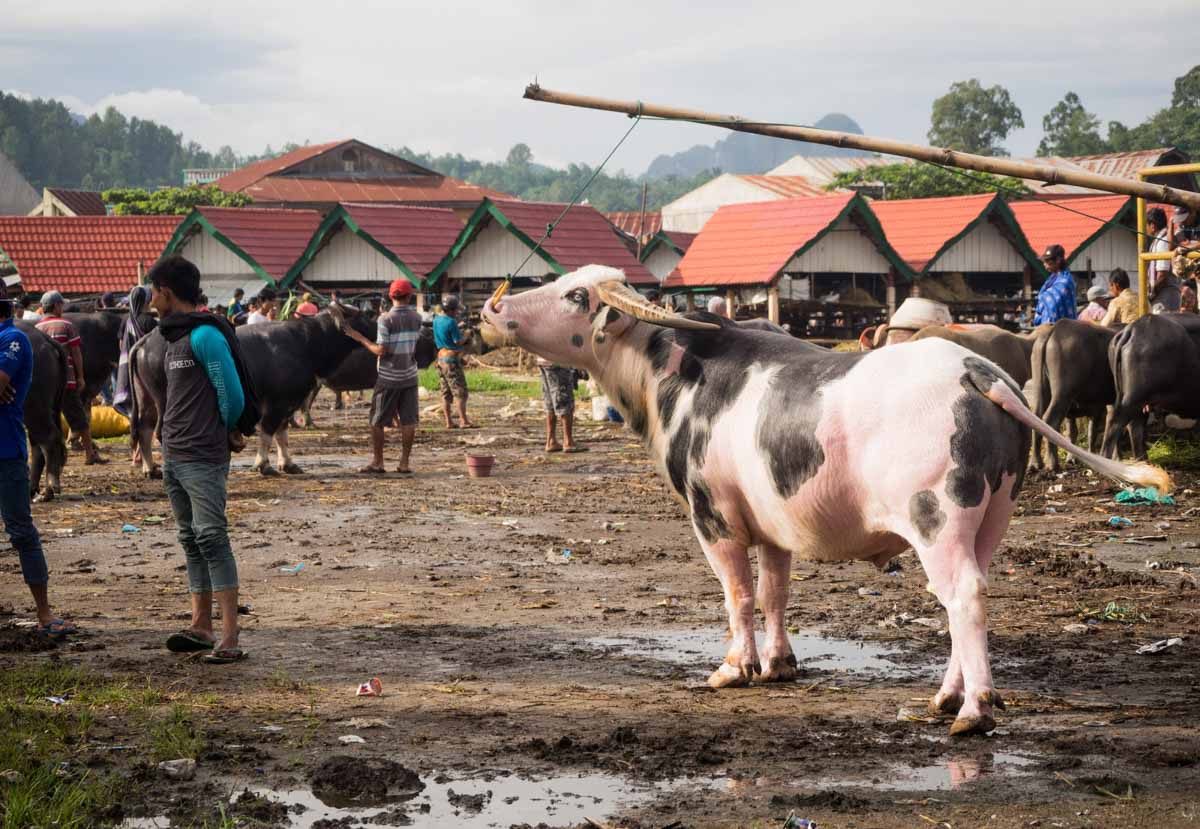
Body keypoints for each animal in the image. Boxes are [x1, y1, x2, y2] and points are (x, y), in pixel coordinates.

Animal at [17, 319, 67, 499]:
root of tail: (45, 339)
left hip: (33, 408)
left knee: (49, 439)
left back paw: (49, 488)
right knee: (37, 444)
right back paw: (32, 489)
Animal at [129, 305, 367, 477]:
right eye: (366, 316)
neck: (306, 342)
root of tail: (146, 340)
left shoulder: (288, 401)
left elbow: (282, 434)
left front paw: (288, 464)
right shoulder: (276, 403)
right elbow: (268, 431)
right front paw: (263, 465)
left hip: (147, 397)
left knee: (144, 427)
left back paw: (151, 469)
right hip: (165, 399)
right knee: (161, 431)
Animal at [1027, 321, 1118, 470]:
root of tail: (1054, 329)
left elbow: (1075, 432)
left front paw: (1073, 458)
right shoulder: (1099, 408)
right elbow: (1094, 432)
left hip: (1040, 388)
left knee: (1037, 417)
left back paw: (1035, 463)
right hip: (1062, 395)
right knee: (1051, 421)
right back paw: (1052, 463)